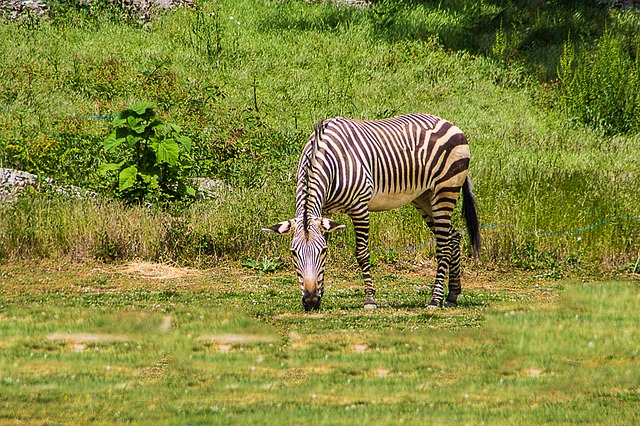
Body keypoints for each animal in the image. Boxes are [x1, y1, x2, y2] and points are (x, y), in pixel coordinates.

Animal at [262, 113, 478, 312]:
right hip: (424, 196)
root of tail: (448, 123)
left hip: (445, 190)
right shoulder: (325, 212)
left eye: (321, 251)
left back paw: (435, 299)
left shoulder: (360, 207)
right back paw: (452, 295)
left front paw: (370, 300)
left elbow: (362, 253)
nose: (310, 301)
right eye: (293, 253)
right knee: (453, 236)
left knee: (443, 245)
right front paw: (321, 295)